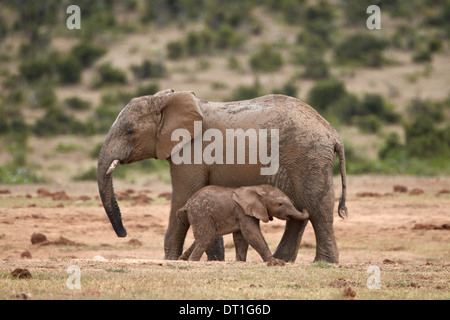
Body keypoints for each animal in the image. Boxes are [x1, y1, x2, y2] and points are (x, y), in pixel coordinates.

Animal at [176, 185, 310, 262]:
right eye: (280, 204)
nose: (304, 207)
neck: (257, 189)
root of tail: (187, 204)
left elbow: (241, 237)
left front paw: (240, 261)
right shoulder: (243, 212)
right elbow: (252, 234)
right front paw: (274, 262)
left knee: (203, 237)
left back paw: (182, 259)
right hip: (201, 213)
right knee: (206, 237)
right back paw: (192, 261)